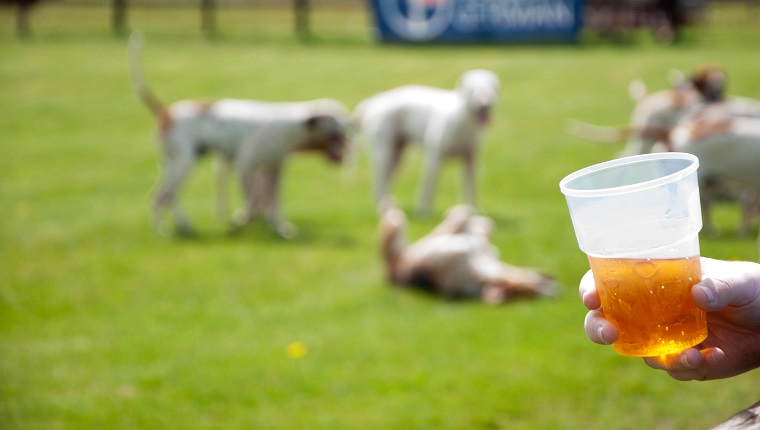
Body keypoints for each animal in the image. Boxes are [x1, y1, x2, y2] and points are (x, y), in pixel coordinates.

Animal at [127, 32, 350, 239]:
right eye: (338, 121)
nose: (352, 124)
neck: (290, 125)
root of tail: (166, 111)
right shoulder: (245, 166)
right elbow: (252, 202)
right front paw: (240, 221)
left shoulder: (273, 170)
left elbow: (273, 204)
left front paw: (279, 229)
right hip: (184, 162)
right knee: (165, 196)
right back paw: (168, 228)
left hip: (174, 163)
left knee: (163, 196)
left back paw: (176, 225)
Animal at [354, 71, 502, 218]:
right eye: (473, 90)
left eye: (492, 88)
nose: (485, 105)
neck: (463, 122)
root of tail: (375, 101)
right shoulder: (433, 160)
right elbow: (429, 187)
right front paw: (424, 212)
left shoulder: (470, 161)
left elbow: (471, 188)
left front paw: (472, 211)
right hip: (385, 154)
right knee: (379, 182)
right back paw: (383, 207)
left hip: (397, 156)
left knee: (383, 183)